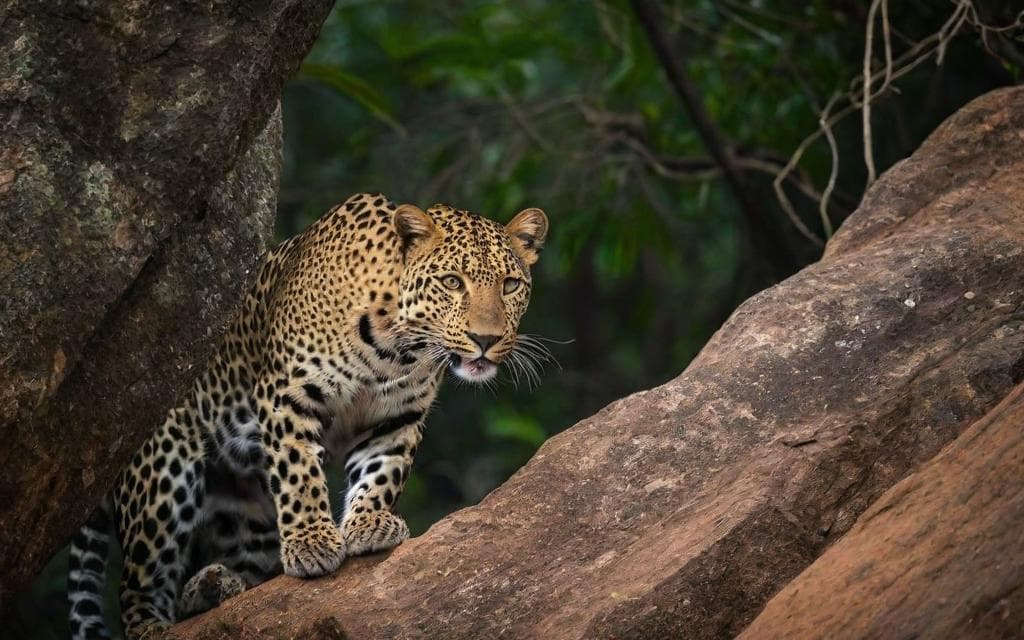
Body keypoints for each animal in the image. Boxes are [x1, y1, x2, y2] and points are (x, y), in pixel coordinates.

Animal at [66, 192, 549, 639]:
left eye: (510, 285)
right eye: (451, 282)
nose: (485, 340)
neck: (395, 347)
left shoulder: (397, 416)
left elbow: (382, 471)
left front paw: (369, 523)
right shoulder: (287, 397)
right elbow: (299, 475)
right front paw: (313, 542)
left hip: (245, 511)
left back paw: (214, 587)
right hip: (163, 476)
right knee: (137, 587)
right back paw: (156, 622)